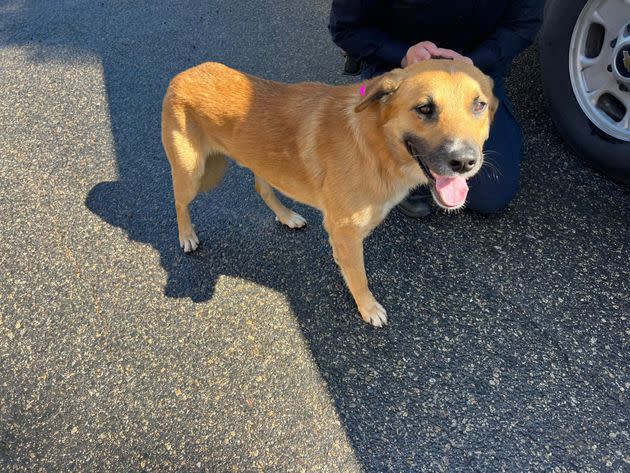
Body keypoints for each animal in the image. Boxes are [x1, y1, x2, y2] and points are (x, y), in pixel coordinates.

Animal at [162, 60, 498, 324]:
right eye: (425, 108)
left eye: (479, 105)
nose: (464, 162)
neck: (375, 146)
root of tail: (184, 74)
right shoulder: (345, 231)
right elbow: (359, 276)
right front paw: (367, 307)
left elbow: (349, 266)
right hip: (191, 174)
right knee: (178, 202)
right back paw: (186, 235)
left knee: (262, 188)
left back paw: (287, 216)